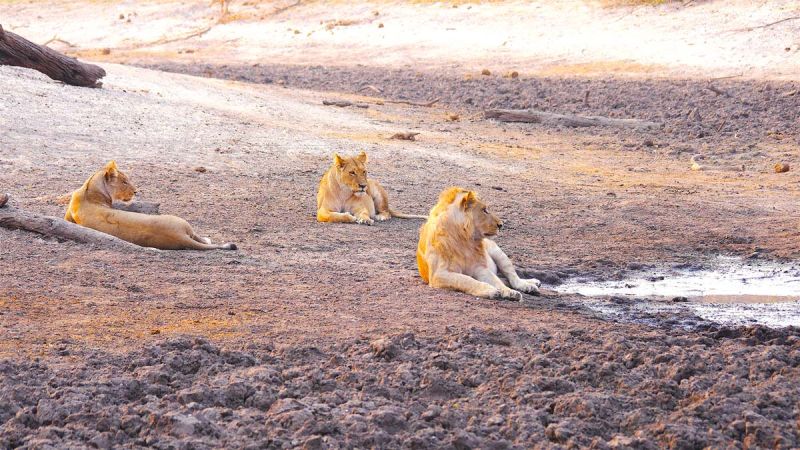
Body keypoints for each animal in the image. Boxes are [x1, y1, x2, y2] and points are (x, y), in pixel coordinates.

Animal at [66, 162, 236, 251]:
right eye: (125, 181)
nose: (136, 191)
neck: (89, 191)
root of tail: (179, 235)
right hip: (184, 223)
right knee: (200, 238)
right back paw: (207, 239)